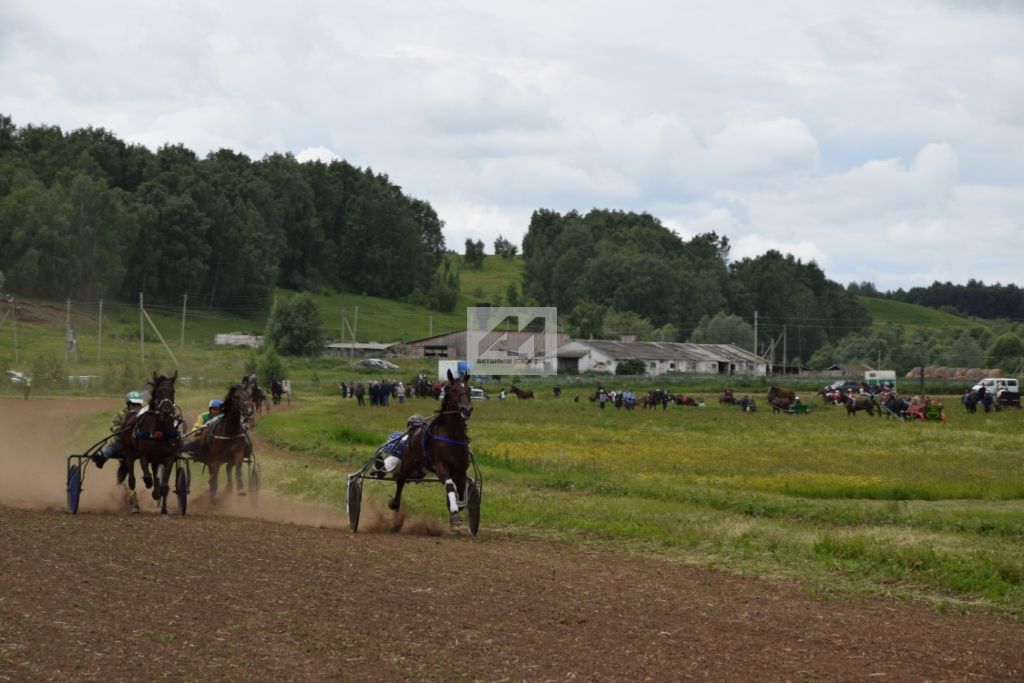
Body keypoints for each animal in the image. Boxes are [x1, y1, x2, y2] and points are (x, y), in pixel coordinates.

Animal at [123, 374, 182, 511]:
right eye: (159, 391)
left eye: (173, 391)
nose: (166, 411)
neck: (159, 431)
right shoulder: (143, 455)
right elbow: (147, 477)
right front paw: (150, 486)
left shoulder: (169, 458)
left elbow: (164, 485)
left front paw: (163, 507)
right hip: (129, 453)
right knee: (132, 479)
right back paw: (135, 506)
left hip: (156, 458)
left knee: (155, 473)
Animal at [389, 370, 473, 532]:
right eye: (454, 390)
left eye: (469, 389)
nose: (466, 409)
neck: (452, 436)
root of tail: (415, 428)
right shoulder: (441, 466)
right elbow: (449, 486)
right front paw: (454, 517)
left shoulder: (461, 470)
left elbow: (459, 491)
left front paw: (456, 507)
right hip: (409, 460)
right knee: (400, 479)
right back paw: (394, 503)